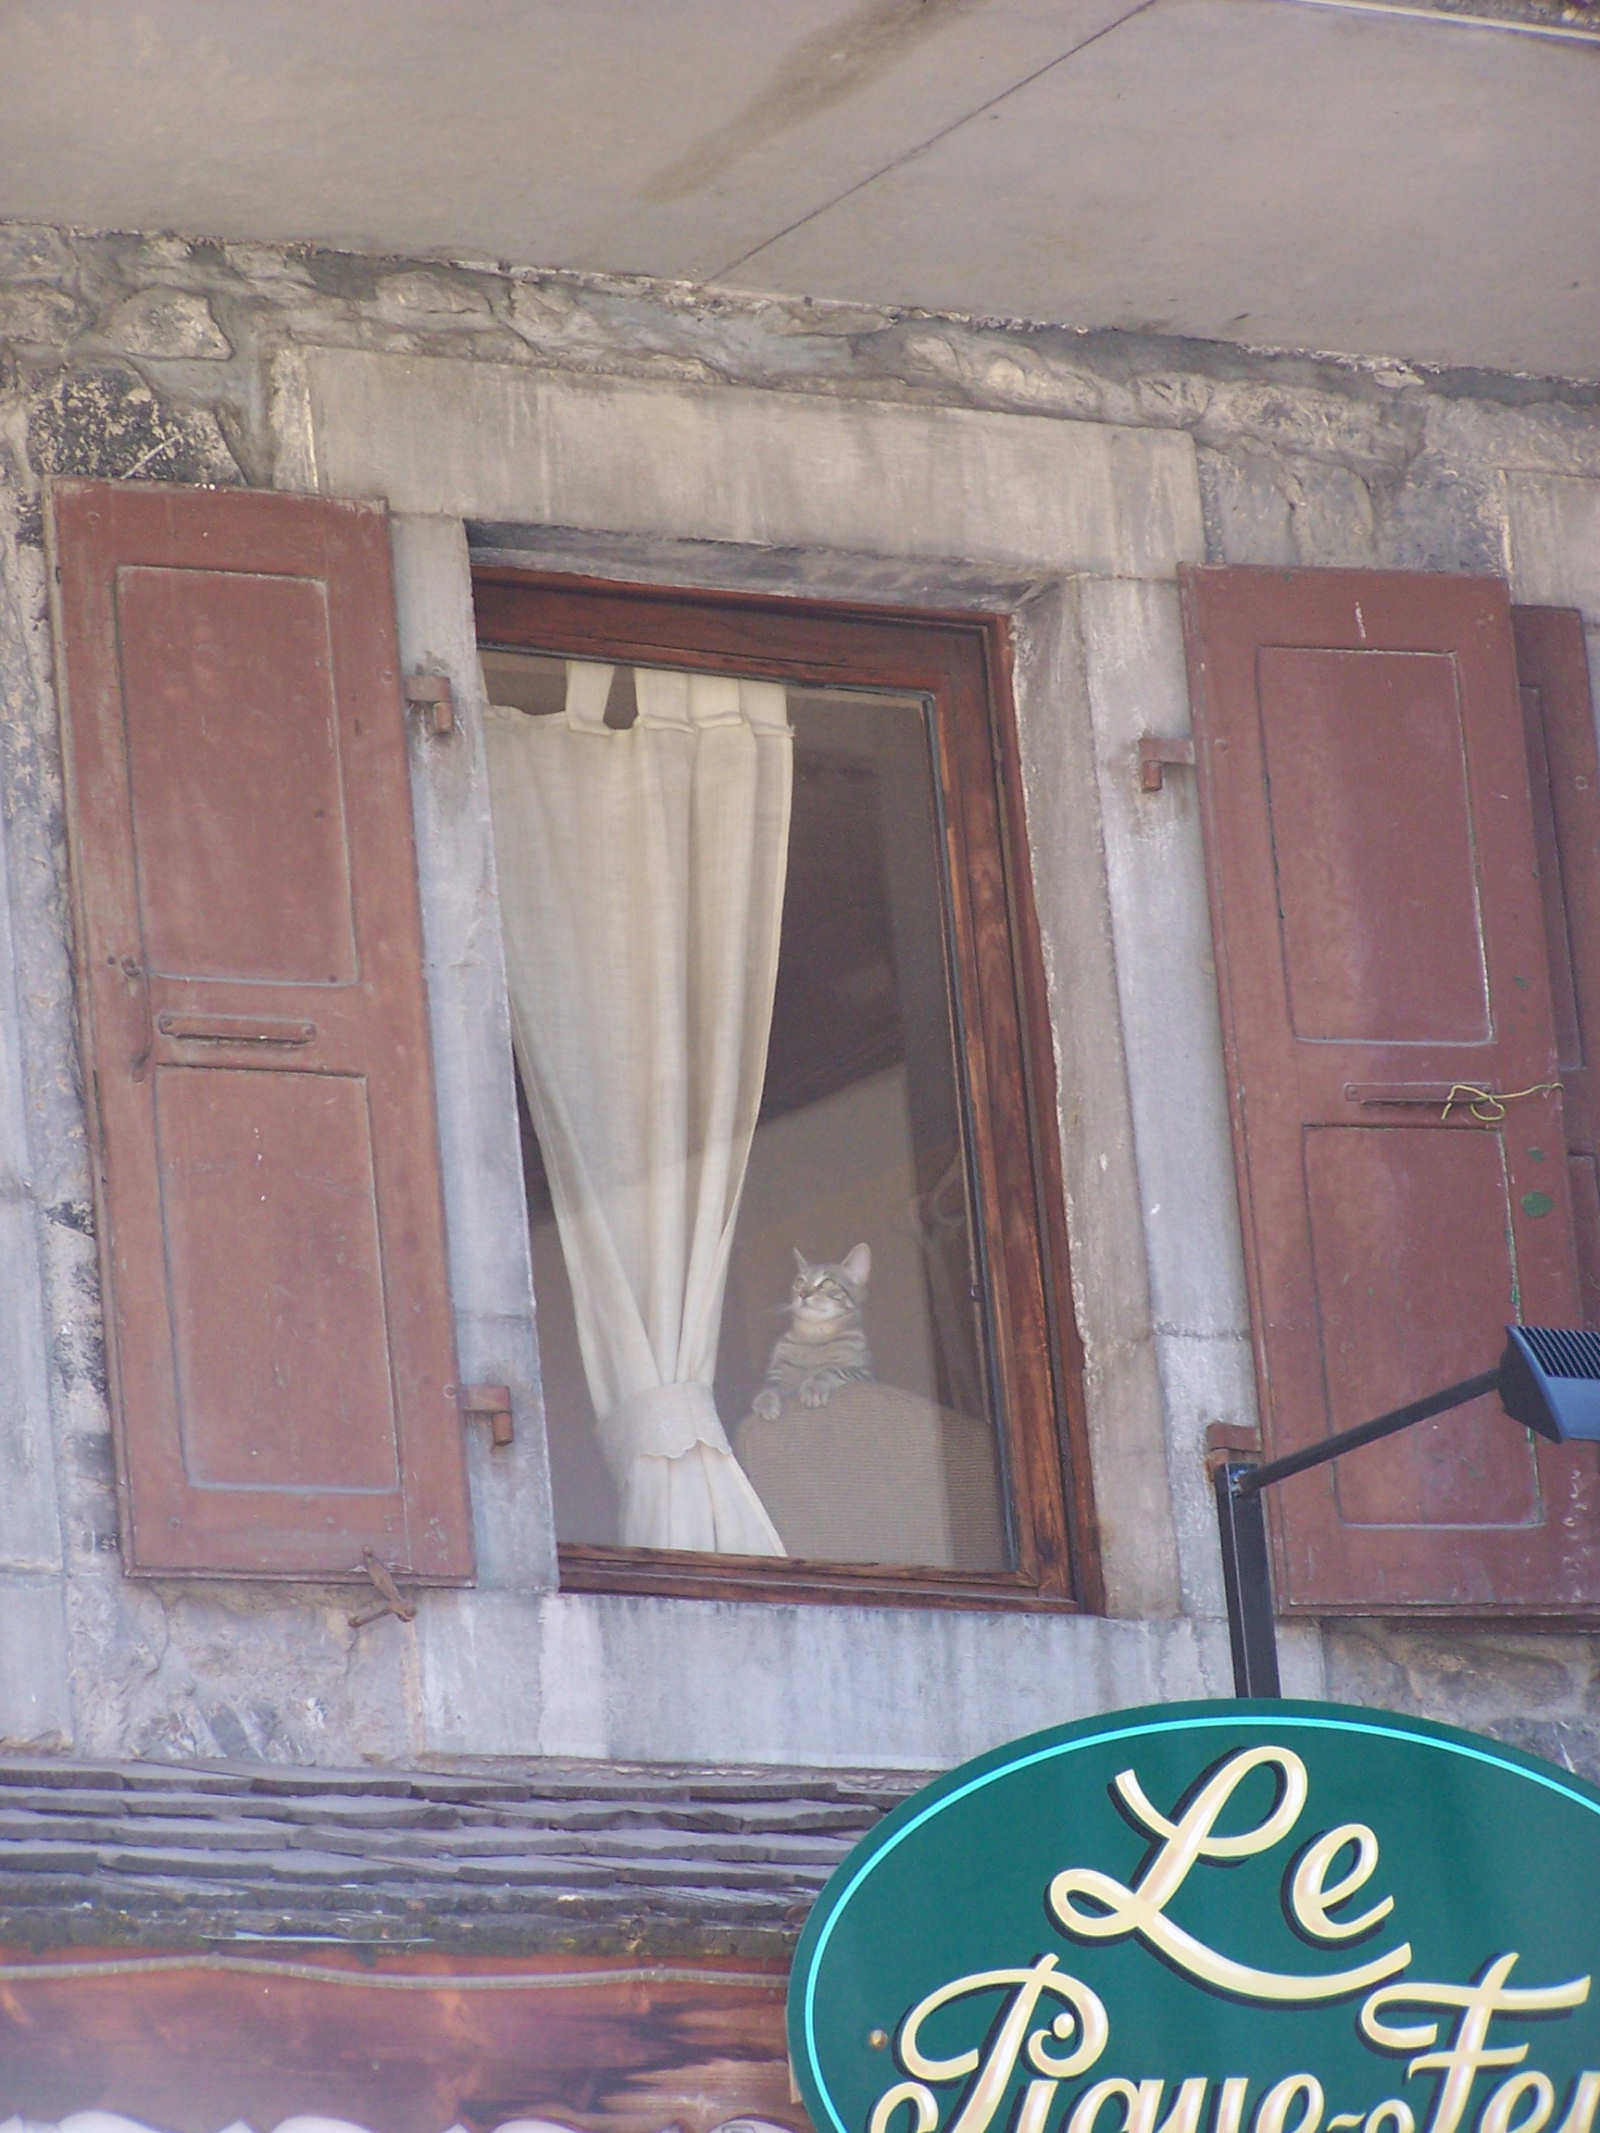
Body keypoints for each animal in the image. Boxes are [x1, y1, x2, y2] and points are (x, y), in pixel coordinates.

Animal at [755, 1245, 878, 1424]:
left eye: (826, 1282)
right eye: (800, 1282)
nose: (803, 1294)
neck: (814, 1334)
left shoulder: (864, 1372)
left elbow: (831, 1370)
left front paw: (813, 1387)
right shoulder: (778, 1365)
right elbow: (771, 1384)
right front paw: (766, 1400)